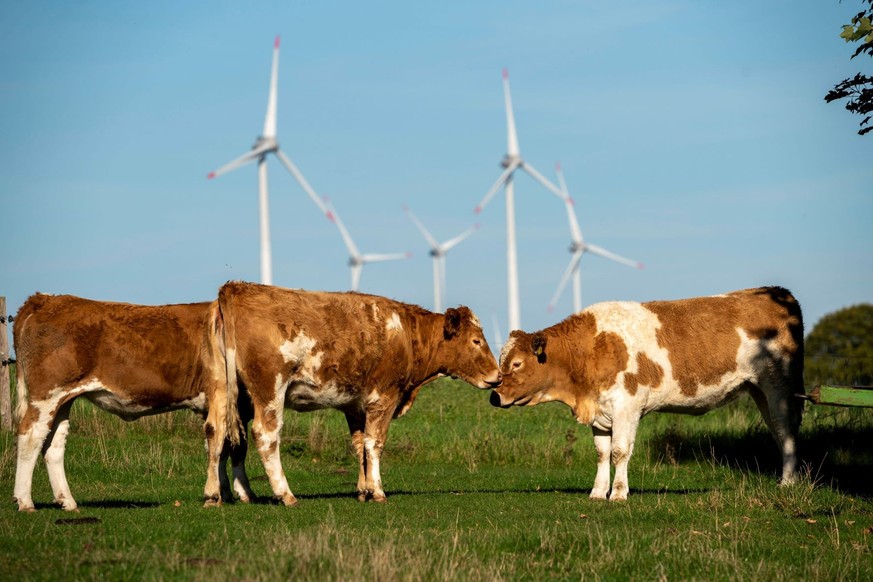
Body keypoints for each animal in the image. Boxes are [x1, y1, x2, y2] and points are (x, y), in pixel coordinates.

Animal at [11, 294, 254, 512]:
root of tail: (43, 299)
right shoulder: (233, 402)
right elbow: (235, 446)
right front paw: (242, 493)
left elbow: (221, 447)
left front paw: (225, 491)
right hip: (46, 395)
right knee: (31, 436)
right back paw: (25, 501)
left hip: (62, 401)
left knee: (53, 444)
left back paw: (67, 502)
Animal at [218, 282, 500, 506]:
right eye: (476, 341)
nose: (497, 376)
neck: (407, 334)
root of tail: (238, 287)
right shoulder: (383, 398)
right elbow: (374, 444)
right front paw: (377, 491)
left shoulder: (354, 406)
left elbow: (359, 445)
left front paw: (363, 491)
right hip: (270, 390)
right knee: (265, 436)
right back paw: (285, 494)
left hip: (234, 397)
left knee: (230, 437)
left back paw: (236, 493)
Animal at [490, 288, 804, 502]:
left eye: (516, 364)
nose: (495, 396)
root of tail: (777, 292)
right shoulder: (601, 411)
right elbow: (602, 453)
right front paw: (597, 492)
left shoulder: (626, 406)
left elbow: (619, 451)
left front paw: (618, 493)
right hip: (760, 391)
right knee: (779, 432)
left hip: (778, 387)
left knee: (786, 432)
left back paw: (787, 483)